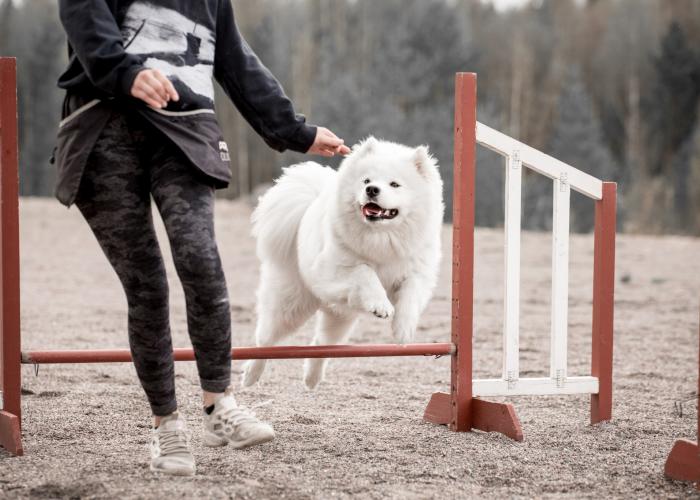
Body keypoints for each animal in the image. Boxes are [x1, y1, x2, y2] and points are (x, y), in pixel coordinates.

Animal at [243, 137, 442, 390]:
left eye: (395, 184)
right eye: (366, 180)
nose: (371, 190)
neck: (381, 238)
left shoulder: (417, 273)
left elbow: (411, 297)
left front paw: (403, 330)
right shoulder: (331, 271)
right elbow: (365, 272)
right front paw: (381, 305)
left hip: (340, 317)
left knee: (322, 344)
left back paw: (312, 378)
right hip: (290, 306)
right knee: (265, 340)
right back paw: (251, 375)